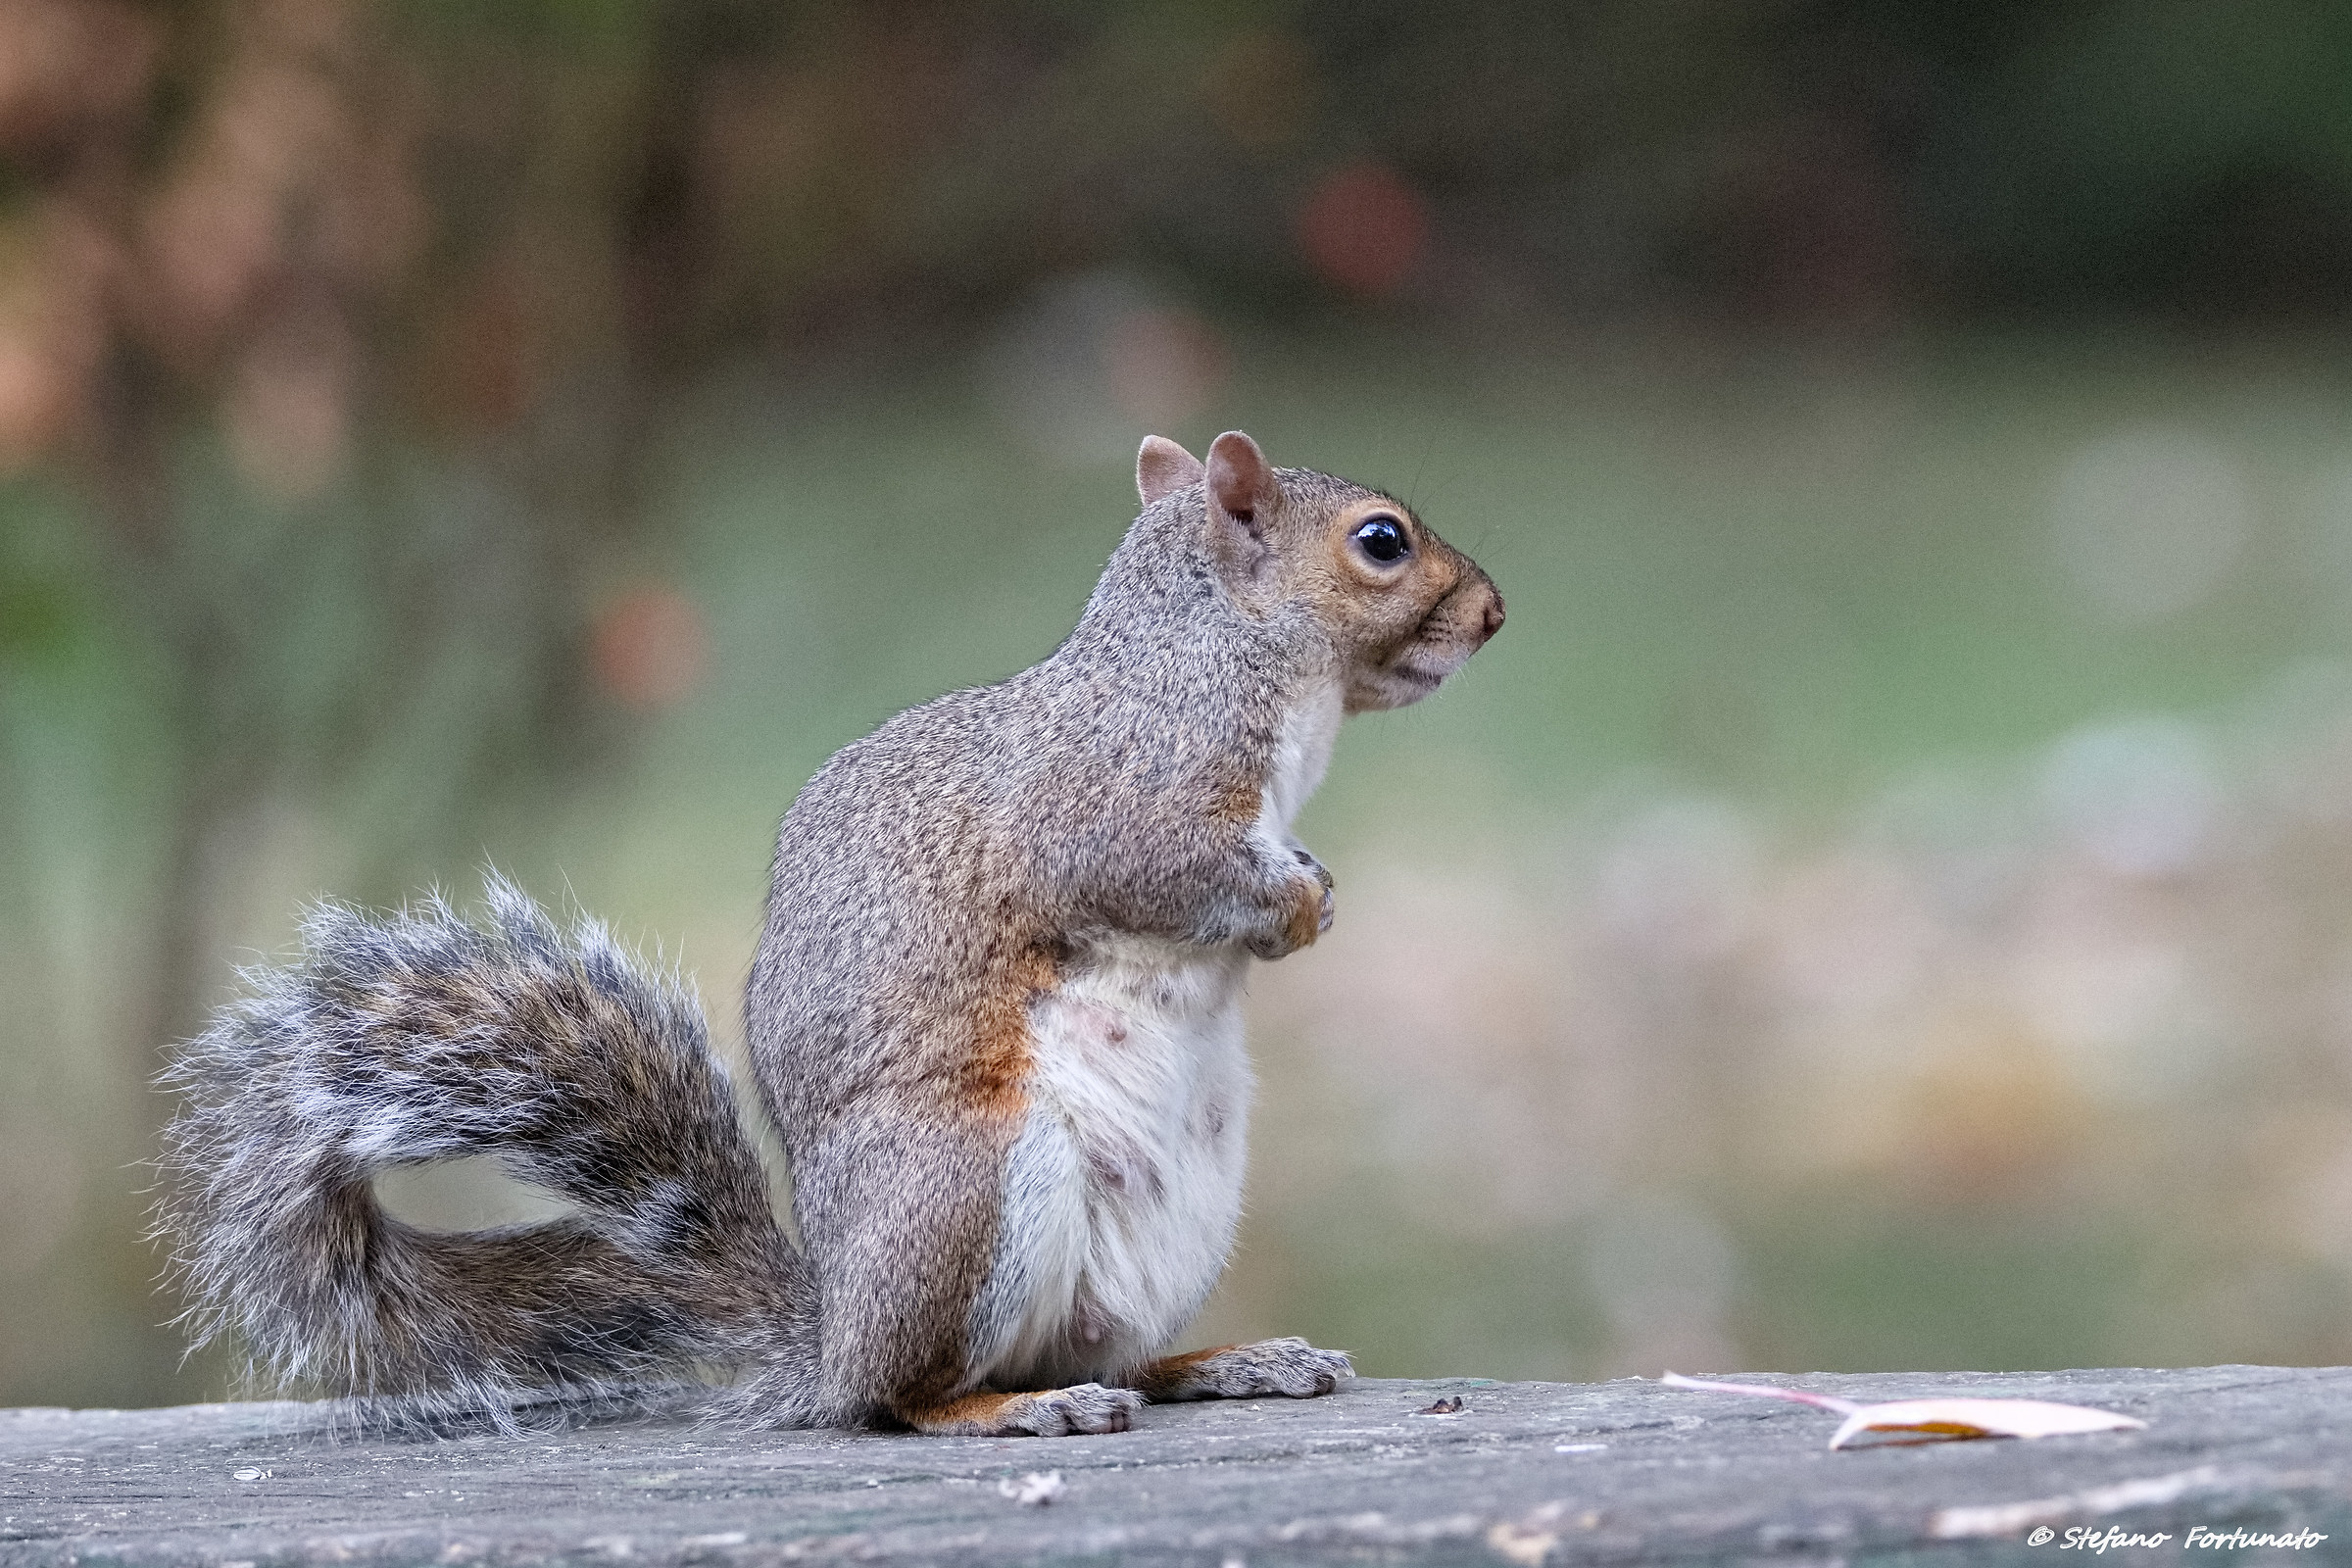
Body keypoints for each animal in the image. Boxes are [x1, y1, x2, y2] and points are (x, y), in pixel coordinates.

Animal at [156, 430, 1504, 1436]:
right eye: (1381, 542)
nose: (1494, 612)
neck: (1222, 655)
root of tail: (834, 1329)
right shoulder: (1119, 799)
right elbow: (1156, 871)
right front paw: (1297, 903)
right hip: (966, 1189)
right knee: (905, 1396)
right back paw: (1006, 1408)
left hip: (1165, 1230)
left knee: (1105, 1354)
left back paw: (1222, 1362)